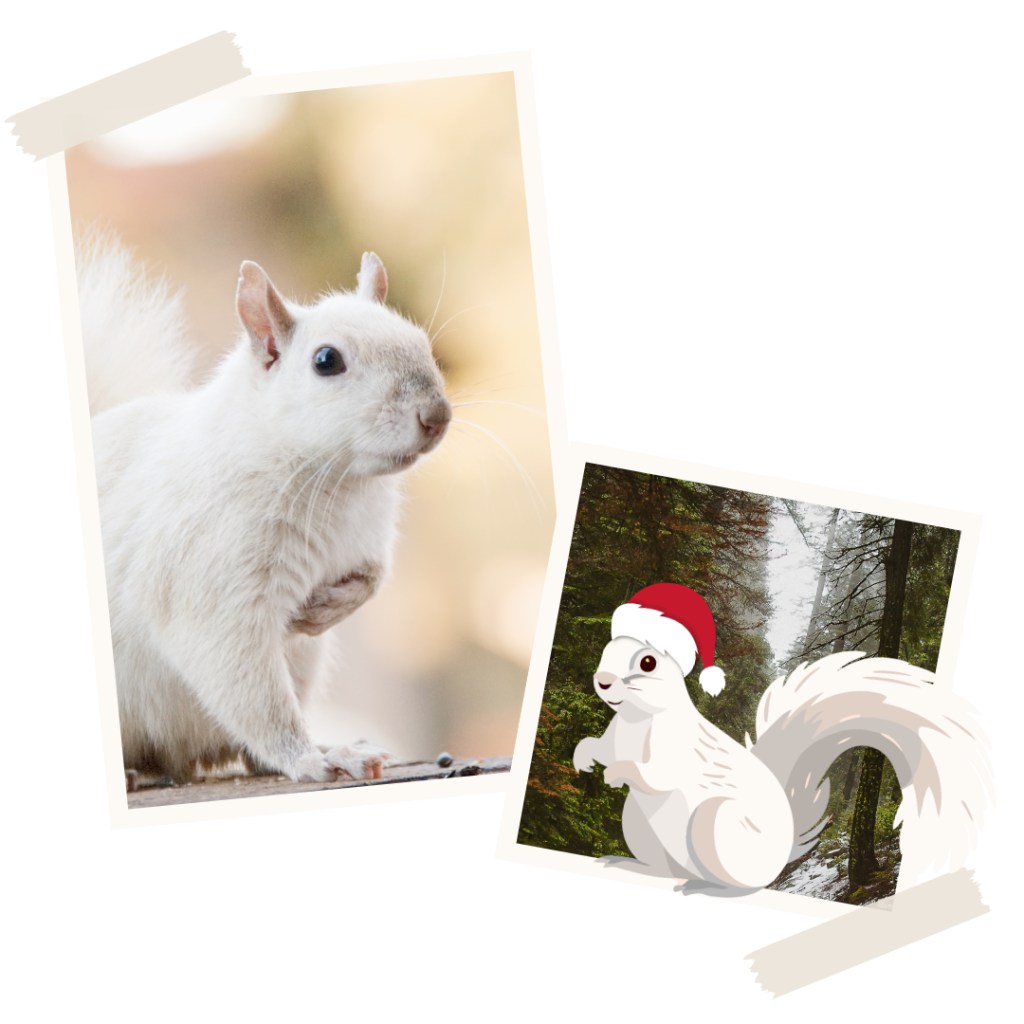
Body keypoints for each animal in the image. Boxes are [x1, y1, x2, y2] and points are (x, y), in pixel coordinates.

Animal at [76, 229, 452, 789]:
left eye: (421, 343)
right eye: (326, 360)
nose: (437, 415)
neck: (338, 486)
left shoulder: (366, 540)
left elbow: (372, 578)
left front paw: (323, 609)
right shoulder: (213, 588)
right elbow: (258, 700)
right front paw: (306, 760)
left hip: (303, 662)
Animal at [573, 583, 995, 896]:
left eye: (648, 662)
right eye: (608, 650)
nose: (602, 682)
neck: (637, 720)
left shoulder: (674, 748)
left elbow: (656, 773)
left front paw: (617, 772)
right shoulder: (615, 734)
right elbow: (601, 746)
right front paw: (584, 756)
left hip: (714, 827)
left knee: (736, 881)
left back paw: (703, 884)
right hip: (639, 825)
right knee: (662, 864)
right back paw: (632, 864)